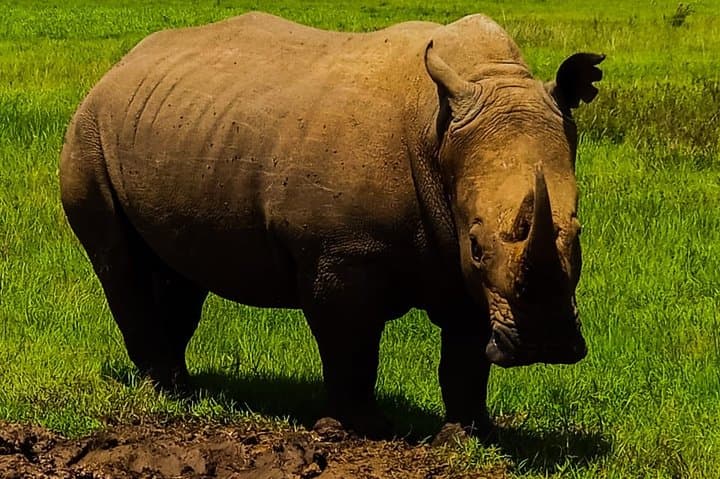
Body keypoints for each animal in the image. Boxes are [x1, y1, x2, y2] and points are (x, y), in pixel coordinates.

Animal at [60, 12, 603, 436]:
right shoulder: (341, 252)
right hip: (88, 134)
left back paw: (181, 389)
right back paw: (166, 390)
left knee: (179, 274)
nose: (546, 344)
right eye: (477, 245)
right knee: (121, 266)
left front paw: (466, 434)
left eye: (579, 235)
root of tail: (115, 69)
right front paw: (363, 430)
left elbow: (466, 351)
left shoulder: (462, 263)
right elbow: (351, 341)